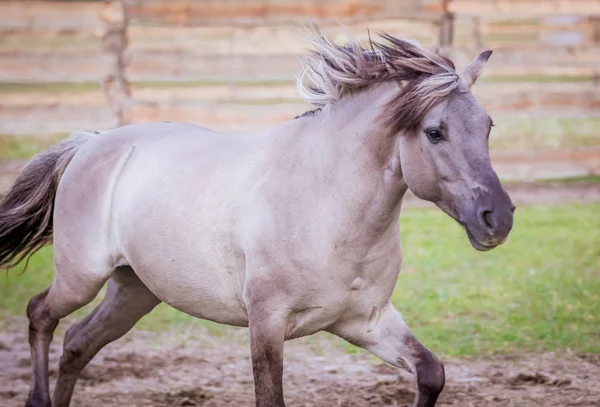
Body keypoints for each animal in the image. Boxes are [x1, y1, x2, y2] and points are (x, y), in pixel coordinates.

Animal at [0, 32, 516, 407]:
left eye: (488, 125)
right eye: (434, 132)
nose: (499, 218)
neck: (326, 206)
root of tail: (91, 143)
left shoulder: (365, 321)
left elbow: (431, 373)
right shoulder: (266, 325)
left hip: (135, 291)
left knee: (77, 343)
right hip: (82, 276)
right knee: (40, 314)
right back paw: (37, 399)